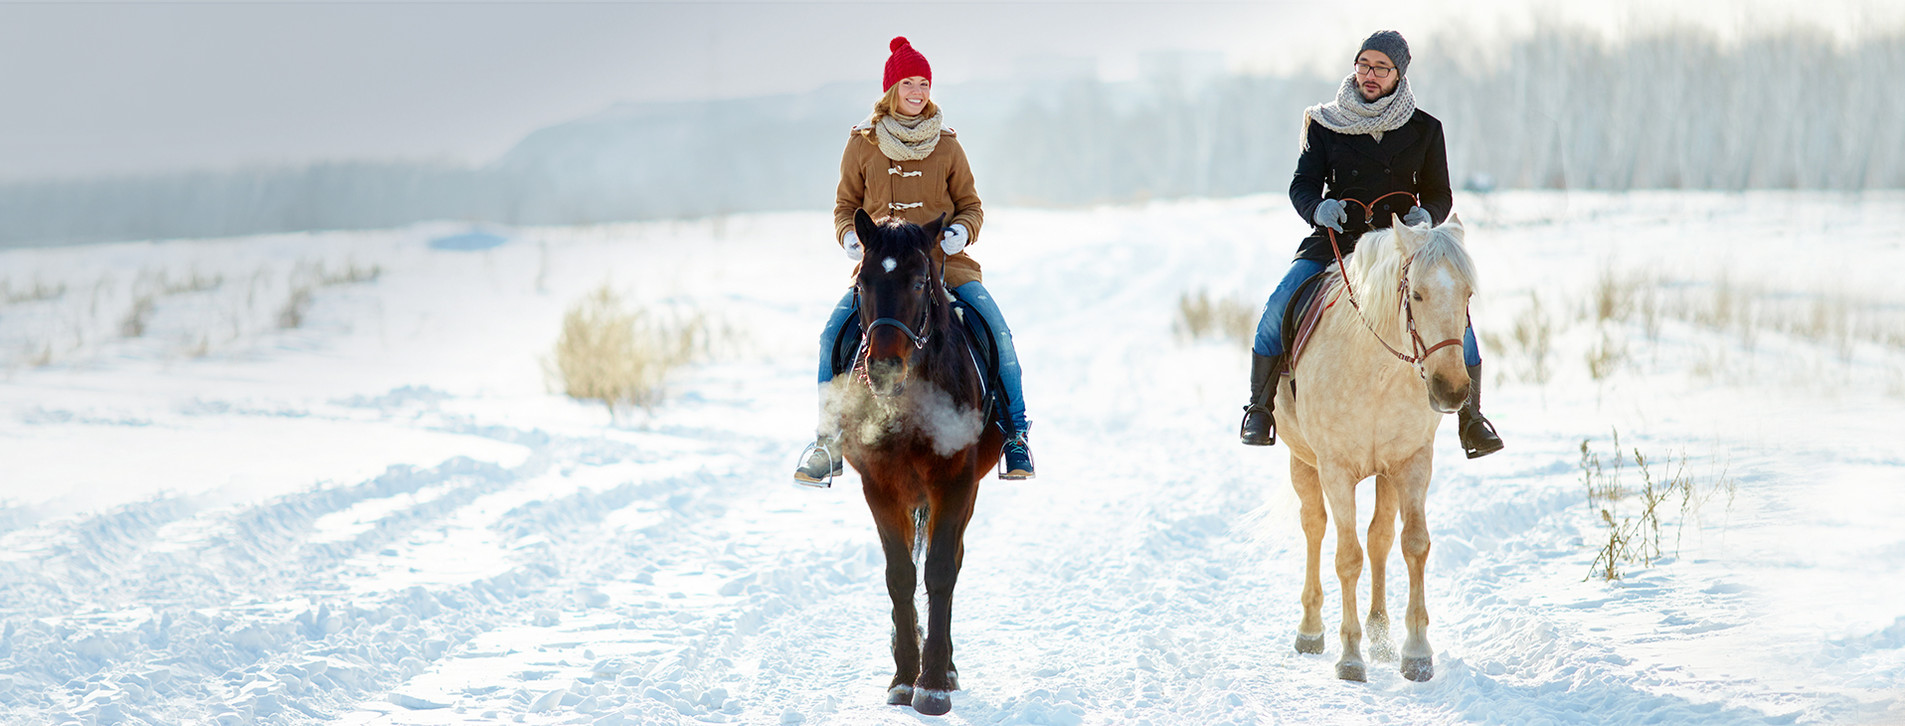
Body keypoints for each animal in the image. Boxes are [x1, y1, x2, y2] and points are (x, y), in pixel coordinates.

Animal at [826, 207, 1005, 712]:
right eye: (862, 280)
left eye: (920, 281)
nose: (884, 368)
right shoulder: (880, 487)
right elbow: (900, 575)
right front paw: (904, 677)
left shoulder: (955, 483)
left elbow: (940, 571)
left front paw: (933, 684)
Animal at [1272, 212, 1478, 682]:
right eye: (1416, 294)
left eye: (1468, 294)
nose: (1452, 389)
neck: (1376, 370)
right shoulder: (1335, 469)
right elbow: (1347, 556)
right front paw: (1350, 657)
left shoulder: (1411, 462)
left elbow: (1413, 544)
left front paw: (1416, 653)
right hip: (1301, 461)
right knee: (1315, 526)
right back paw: (1310, 631)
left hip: (1384, 474)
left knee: (1380, 538)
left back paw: (1381, 637)